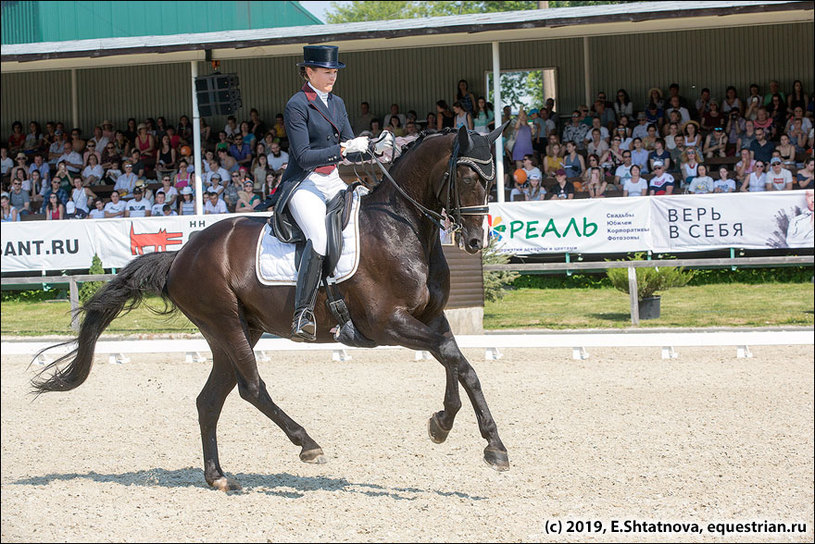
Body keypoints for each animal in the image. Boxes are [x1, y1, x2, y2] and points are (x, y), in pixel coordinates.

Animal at [38, 125, 512, 490]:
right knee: (250, 388)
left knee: (209, 400)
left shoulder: (431, 317)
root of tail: (182, 253)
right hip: (226, 323)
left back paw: (218, 477)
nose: (475, 242)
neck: (404, 229)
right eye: (465, 177)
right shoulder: (386, 324)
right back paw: (307, 444)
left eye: (490, 181)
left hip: (235, 331)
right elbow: (455, 359)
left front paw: (448, 426)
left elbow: (455, 361)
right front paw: (489, 444)